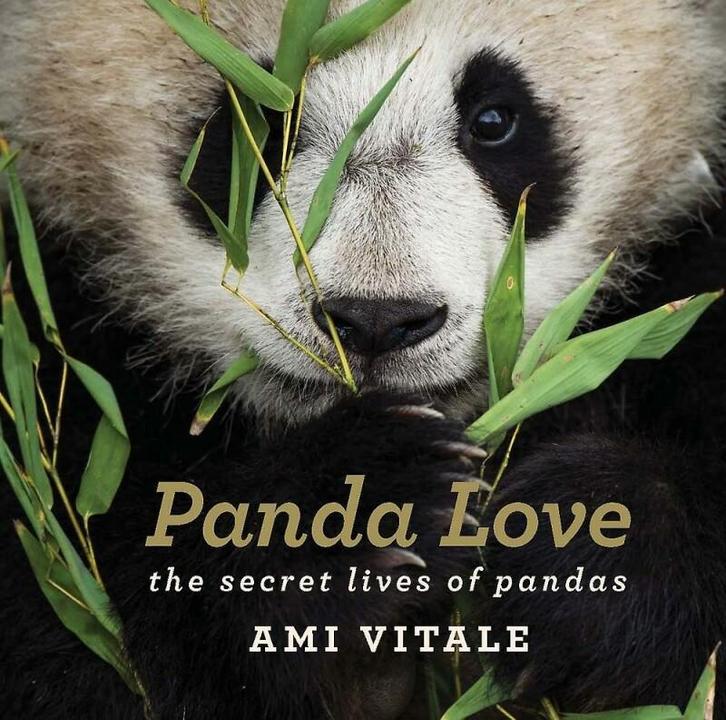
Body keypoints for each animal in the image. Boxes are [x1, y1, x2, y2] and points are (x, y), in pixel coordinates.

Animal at [1, 0, 725, 718]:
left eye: (494, 120)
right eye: (262, 119)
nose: (377, 321)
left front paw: (581, 548)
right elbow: (74, 622)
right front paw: (364, 504)